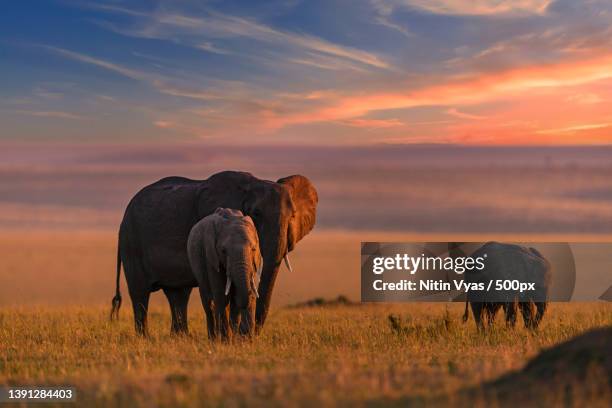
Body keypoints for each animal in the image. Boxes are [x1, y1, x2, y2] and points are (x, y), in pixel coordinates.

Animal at [186, 207, 262, 342]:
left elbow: (242, 296)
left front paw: (243, 342)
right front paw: (227, 341)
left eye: (253, 249)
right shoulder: (211, 257)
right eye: (223, 251)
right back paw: (213, 339)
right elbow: (222, 295)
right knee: (209, 303)